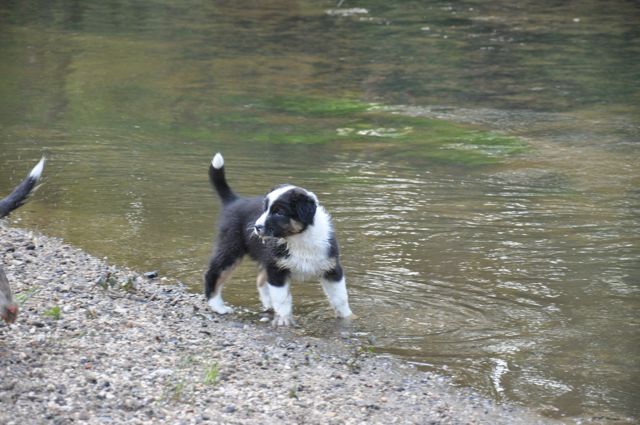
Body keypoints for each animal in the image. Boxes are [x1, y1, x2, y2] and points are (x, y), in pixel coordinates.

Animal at [204, 152, 352, 324]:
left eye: (279, 212)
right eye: (265, 209)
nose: (256, 227)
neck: (299, 238)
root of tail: (234, 200)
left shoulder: (331, 268)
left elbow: (340, 298)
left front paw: (349, 318)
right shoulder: (277, 270)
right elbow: (282, 299)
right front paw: (284, 321)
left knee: (261, 280)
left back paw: (268, 305)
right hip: (231, 246)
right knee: (214, 272)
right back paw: (218, 306)